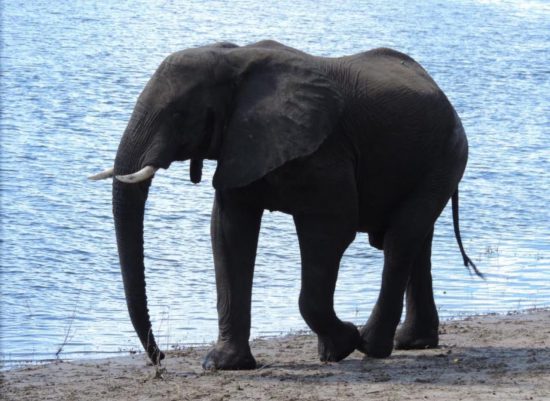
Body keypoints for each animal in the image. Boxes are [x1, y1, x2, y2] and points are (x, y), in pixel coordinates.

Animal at [88, 39, 480, 368]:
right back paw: (411, 342)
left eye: (177, 114)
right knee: (414, 240)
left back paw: (372, 346)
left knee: (400, 239)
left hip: (447, 154)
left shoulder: (325, 151)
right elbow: (229, 232)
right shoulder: (241, 143)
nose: (160, 359)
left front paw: (342, 345)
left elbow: (331, 229)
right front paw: (224, 365)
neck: (234, 58)